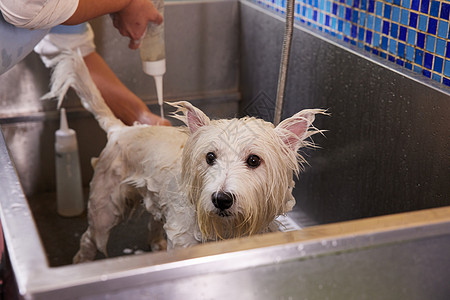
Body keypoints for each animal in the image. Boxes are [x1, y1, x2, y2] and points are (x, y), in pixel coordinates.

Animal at [45, 51, 326, 262]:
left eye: (254, 160)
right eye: (210, 157)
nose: (221, 199)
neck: (226, 230)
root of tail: (121, 130)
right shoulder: (185, 241)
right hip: (105, 206)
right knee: (89, 237)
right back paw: (82, 262)